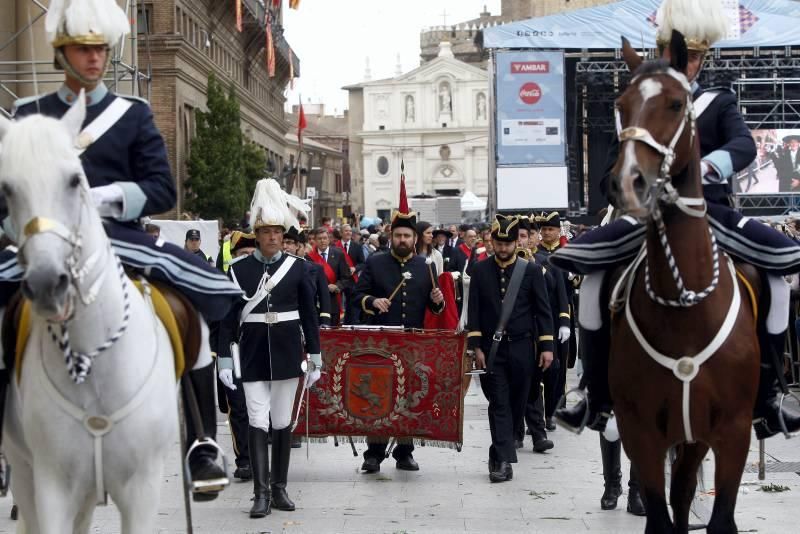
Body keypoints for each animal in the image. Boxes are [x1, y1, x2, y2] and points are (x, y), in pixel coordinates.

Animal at [0, 93, 177, 534]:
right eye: (7, 188)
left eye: (74, 180)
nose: (48, 282)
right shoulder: (51, 486)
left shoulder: (143, 487)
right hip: (25, 470)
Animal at [608, 30, 760, 534]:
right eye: (621, 103)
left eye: (676, 104)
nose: (627, 183)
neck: (684, 308)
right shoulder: (639, 432)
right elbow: (660, 518)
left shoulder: (733, 431)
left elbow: (720, 520)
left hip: (697, 438)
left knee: (687, 488)